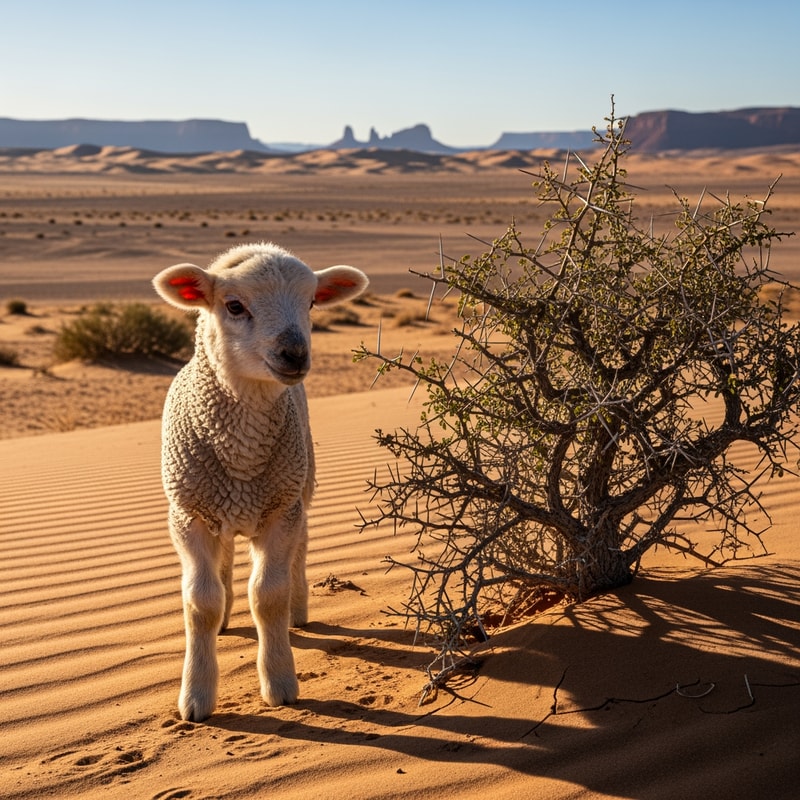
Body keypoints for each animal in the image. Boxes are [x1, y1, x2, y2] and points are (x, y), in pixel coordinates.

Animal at [152, 242, 368, 722]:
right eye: (234, 306)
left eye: (312, 303)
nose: (295, 354)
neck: (242, 458)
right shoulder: (189, 514)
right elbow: (200, 602)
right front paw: (196, 696)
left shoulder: (279, 510)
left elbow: (268, 596)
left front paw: (281, 683)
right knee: (224, 563)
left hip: (300, 485)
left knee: (300, 550)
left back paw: (299, 611)